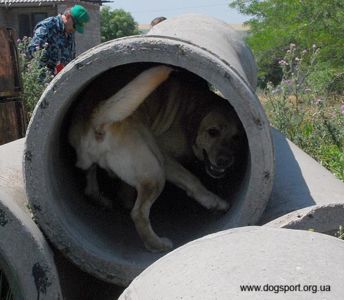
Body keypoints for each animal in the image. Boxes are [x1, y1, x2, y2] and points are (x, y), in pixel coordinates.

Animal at [65, 63, 247, 253]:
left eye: (237, 137)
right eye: (212, 132)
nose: (225, 160)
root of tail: (98, 121)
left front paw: (125, 197)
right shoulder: (166, 156)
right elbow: (192, 180)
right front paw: (214, 201)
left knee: (90, 184)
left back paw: (102, 200)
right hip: (156, 171)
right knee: (138, 213)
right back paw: (158, 244)